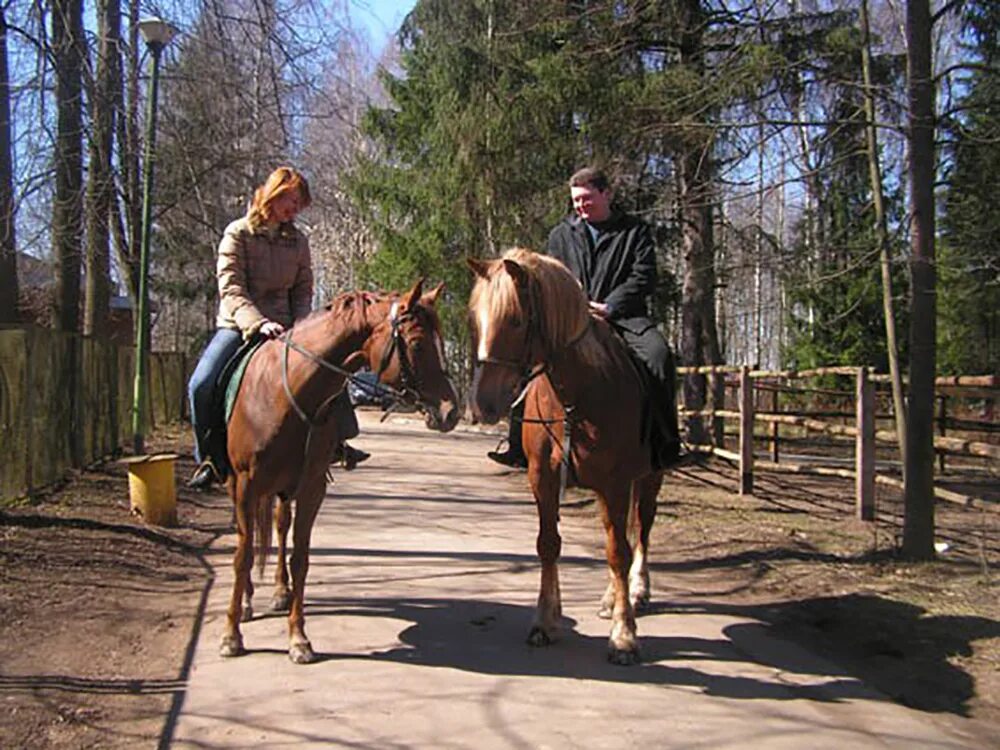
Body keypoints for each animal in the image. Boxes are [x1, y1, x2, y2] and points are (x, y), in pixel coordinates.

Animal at [221, 280, 458, 664]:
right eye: (418, 344)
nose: (451, 412)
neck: (285, 396)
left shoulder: (312, 486)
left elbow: (301, 559)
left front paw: (299, 639)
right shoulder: (245, 485)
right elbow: (242, 557)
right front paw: (231, 635)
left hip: (285, 488)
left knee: (280, 526)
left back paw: (280, 591)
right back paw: (246, 603)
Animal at [468, 250, 664, 668]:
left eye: (515, 319)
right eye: (476, 318)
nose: (483, 405)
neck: (578, 394)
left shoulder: (615, 483)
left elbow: (618, 552)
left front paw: (624, 636)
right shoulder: (542, 477)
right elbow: (548, 544)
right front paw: (546, 620)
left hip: (650, 478)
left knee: (641, 529)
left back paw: (636, 592)